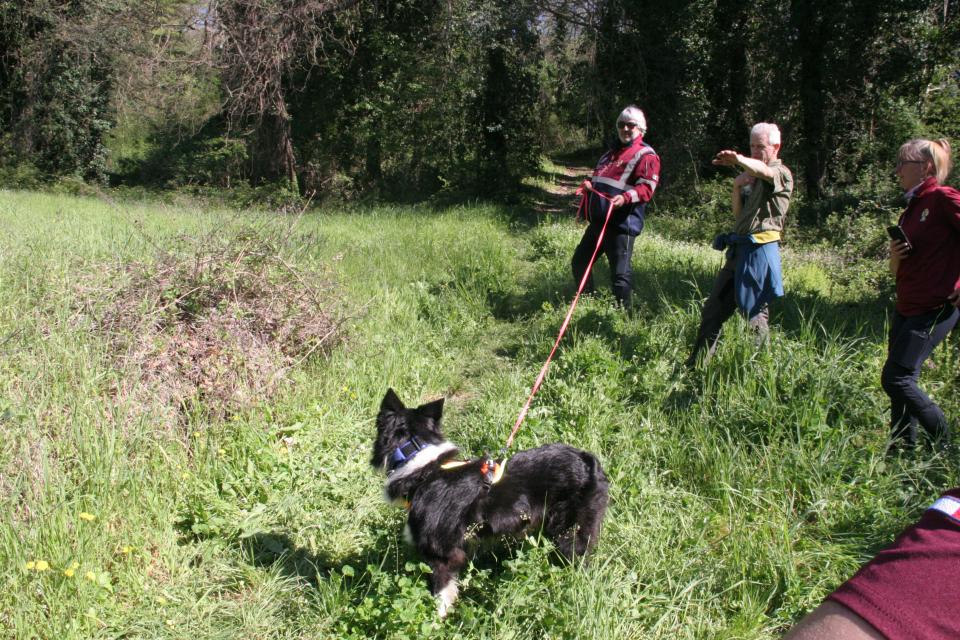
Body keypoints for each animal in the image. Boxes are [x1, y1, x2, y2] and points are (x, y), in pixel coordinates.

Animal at [374, 388, 608, 616]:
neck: (423, 468)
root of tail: (588, 460)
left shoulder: (442, 553)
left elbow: (442, 594)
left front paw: (438, 619)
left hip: (571, 531)